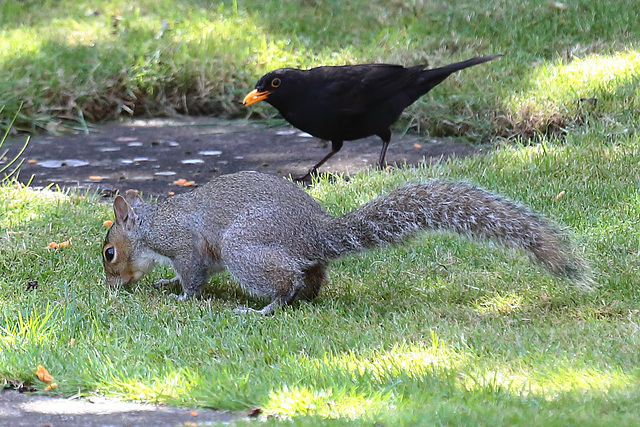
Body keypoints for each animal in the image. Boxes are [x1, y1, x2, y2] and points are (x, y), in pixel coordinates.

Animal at [104, 171, 592, 314]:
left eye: (109, 253)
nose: (112, 286)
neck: (150, 224)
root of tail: (315, 233)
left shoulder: (183, 244)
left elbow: (193, 275)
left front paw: (182, 296)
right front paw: (165, 284)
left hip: (245, 248)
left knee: (285, 281)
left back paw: (262, 309)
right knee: (312, 278)